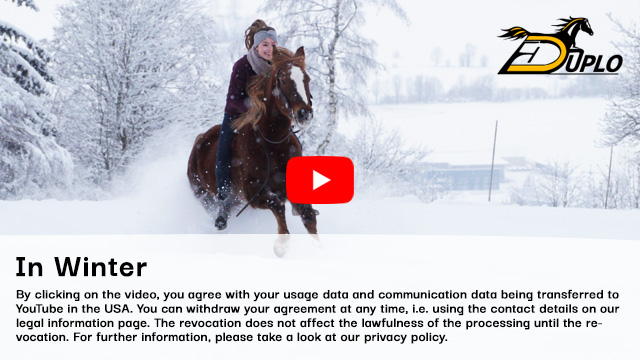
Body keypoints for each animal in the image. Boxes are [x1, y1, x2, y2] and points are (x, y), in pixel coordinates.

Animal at [186, 45, 318, 233]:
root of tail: (199, 140)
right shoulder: (254, 194)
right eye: (284, 81)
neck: (272, 142)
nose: (305, 114)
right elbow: (278, 209)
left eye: (307, 79)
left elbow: (309, 217)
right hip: (206, 198)